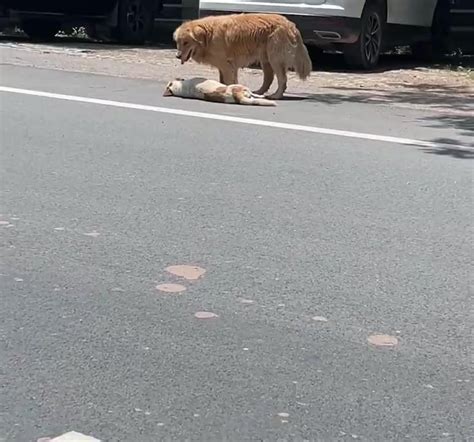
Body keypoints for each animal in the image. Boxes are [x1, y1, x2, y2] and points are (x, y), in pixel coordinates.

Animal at [172, 14, 312, 100]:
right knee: (268, 78)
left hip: (275, 59)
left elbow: (228, 82)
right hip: (266, 59)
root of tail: (290, 24)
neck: (208, 35)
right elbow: (222, 82)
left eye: (186, 42)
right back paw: (258, 92)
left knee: (282, 79)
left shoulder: (227, 66)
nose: (178, 56)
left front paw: (227, 92)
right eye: (178, 42)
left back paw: (276, 95)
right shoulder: (223, 66)